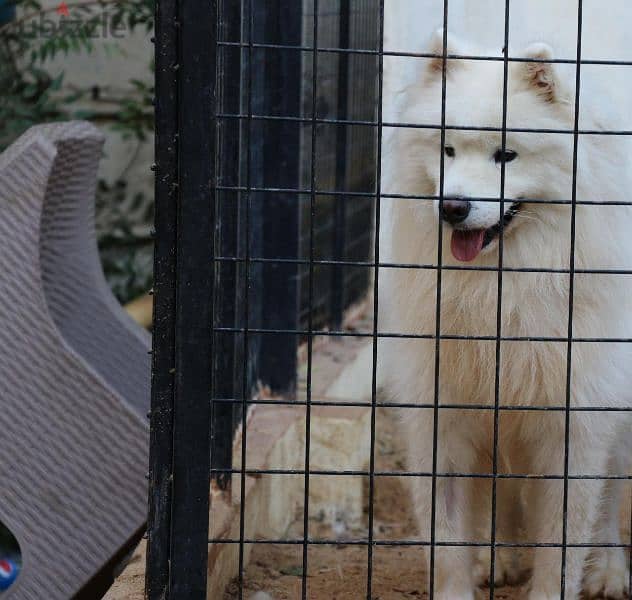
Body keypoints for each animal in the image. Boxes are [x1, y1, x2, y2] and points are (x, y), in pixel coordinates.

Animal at [378, 29, 632, 600]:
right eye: (447, 149)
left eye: (507, 155)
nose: (452, 207)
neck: (502, 288)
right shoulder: (445, 410)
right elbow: (447, 538)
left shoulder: (575, 417)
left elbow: (564, 540)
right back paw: (498, 555)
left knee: (611, 490)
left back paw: (608, 569)